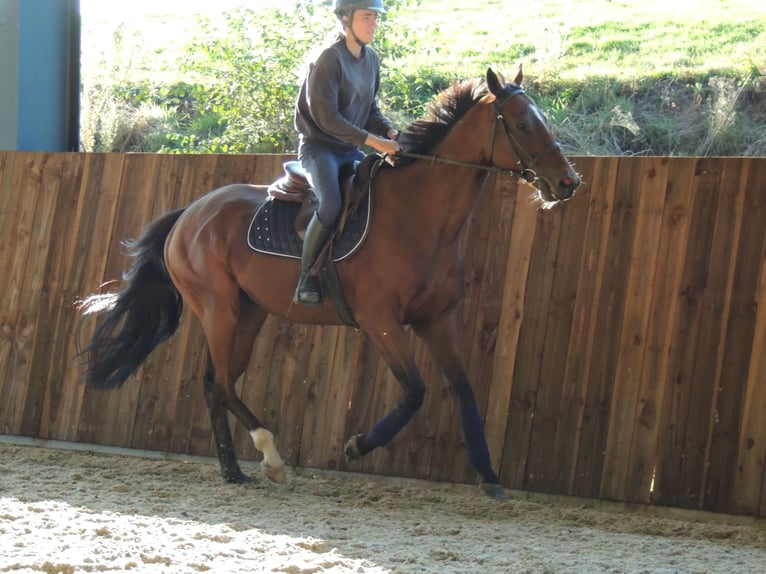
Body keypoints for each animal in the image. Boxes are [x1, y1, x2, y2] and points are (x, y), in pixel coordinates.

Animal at [79, 66, 584, 500]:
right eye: (521, 123)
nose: (568, 183)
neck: (420, 215)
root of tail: (190, 213)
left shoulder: (436, 320)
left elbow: (463, 391)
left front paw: (489, 474)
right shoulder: (381, 320)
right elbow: (415, 390)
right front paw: (358, 445)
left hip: (249, 313)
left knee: (214, 383)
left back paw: (234, 471)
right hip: (218, 308)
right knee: (221, 382)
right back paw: (270, 456)